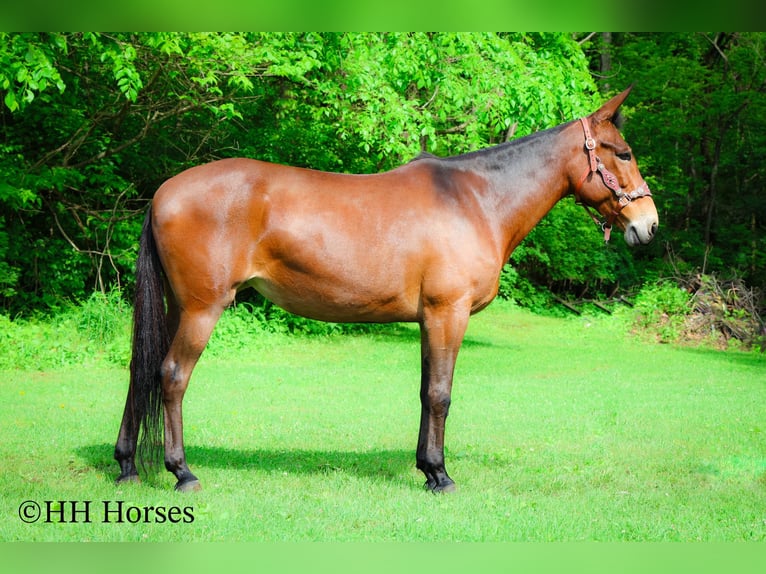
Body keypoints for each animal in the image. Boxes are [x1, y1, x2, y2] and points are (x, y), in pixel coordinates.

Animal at [114, 86, 658, 493]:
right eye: (624, 153)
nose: (648, 224)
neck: (476, 199)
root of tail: (164, 192)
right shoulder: (447, 312)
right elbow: (440, 393)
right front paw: (440, 475)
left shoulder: (428, 319)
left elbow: (424, 391)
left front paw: (426, 468)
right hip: (202, 308)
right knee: (171, 376)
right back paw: (182, 472)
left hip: (177, 306)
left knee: (141, 372)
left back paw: (126, 465)